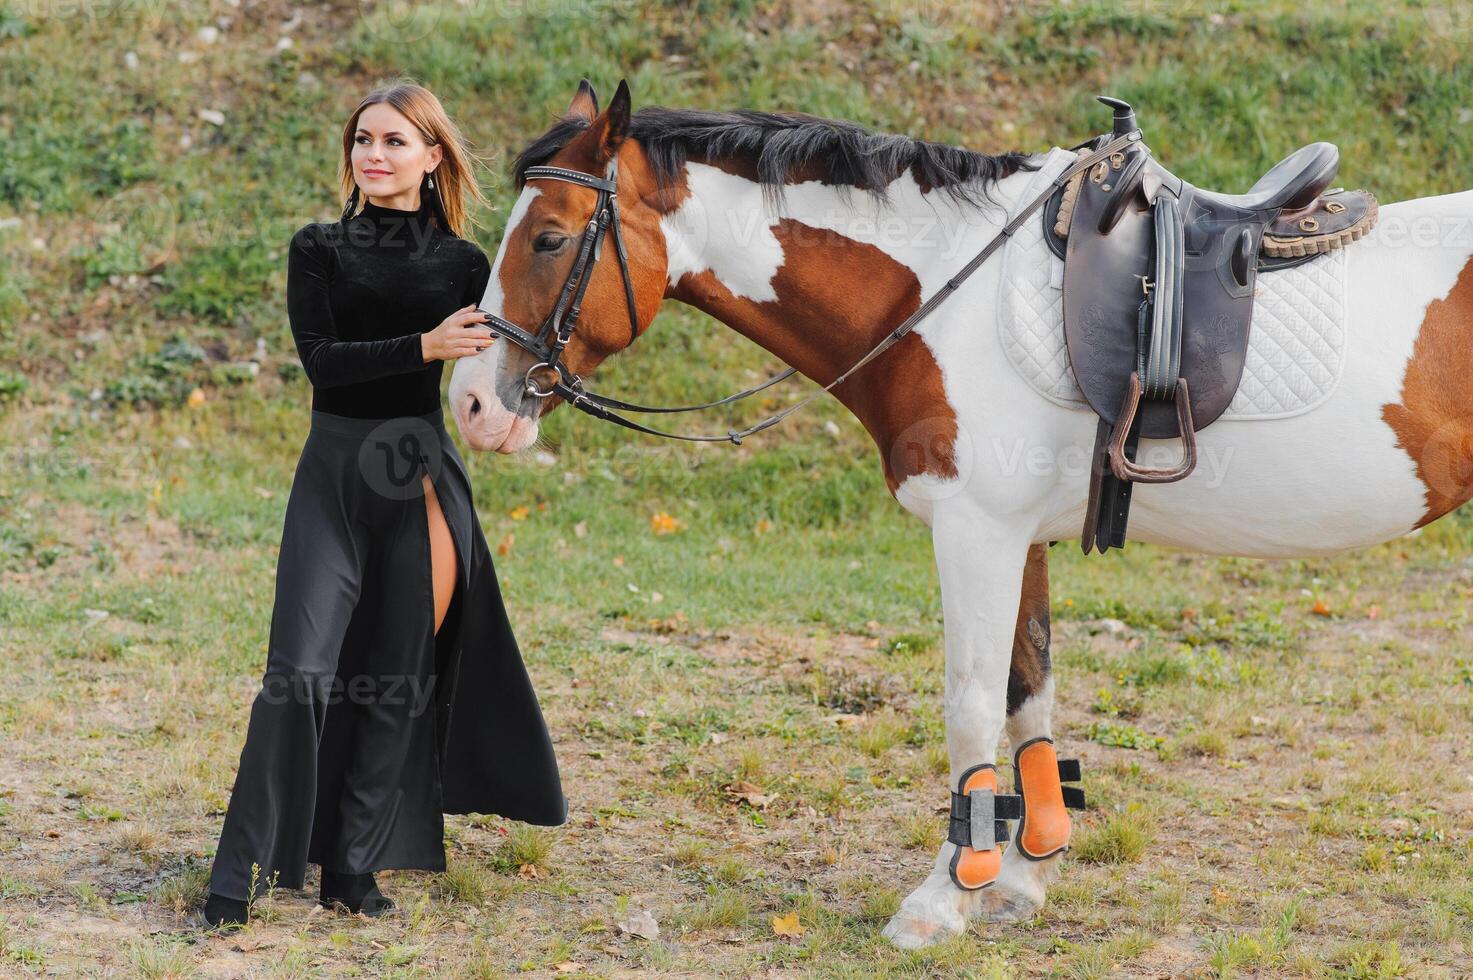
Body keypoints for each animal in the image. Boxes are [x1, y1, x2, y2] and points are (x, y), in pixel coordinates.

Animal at [444, 80, 1473, 943]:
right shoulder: (1021, 538)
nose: (473, 404)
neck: (939, 292)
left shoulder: (976, 532)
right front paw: (1018, 875)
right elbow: (1028, 694)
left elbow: (970, 708)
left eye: (548, 237)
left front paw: (945, 895)